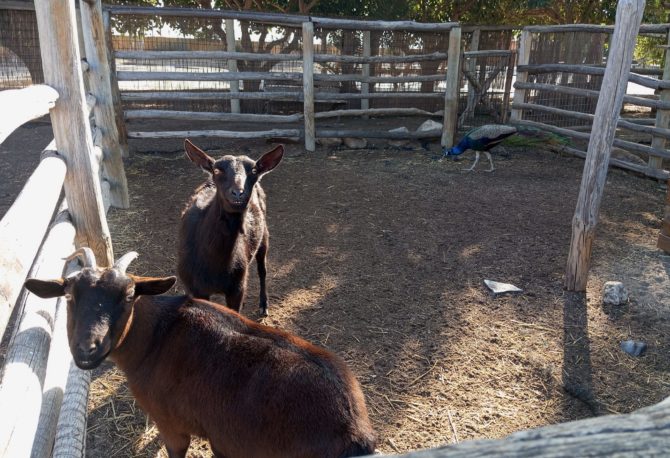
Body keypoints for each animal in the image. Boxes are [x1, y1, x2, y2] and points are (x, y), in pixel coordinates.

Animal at [25, 248, 377, 458]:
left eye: (127, 295)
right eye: (69, 295)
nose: (87, 349)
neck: (155, 337)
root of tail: (355, 431)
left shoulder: (171, 424)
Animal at [178, 139, 283, 317]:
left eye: (254, 170)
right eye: (217, 170)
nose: (238, 193)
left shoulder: (237, 287)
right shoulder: (195, 288)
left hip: (264, 235)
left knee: (262, 270)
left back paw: (264, 305)